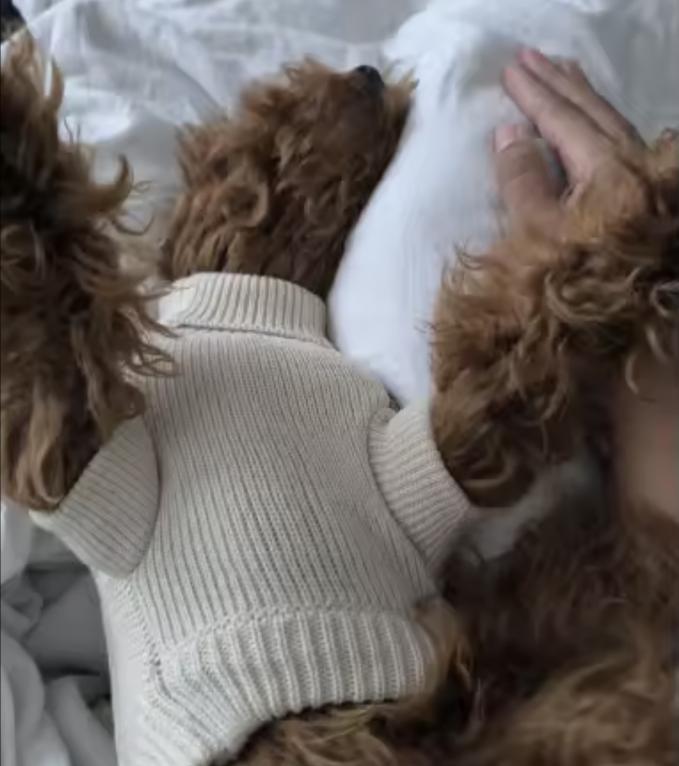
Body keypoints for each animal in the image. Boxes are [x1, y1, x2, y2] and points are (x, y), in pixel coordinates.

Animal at [1, 38, 677, 766]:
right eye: (275, 106)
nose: (367, 72)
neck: (255, 309)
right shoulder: (90, 467)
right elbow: (47, 323)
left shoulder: (419, 464)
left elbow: (535, 318)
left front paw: (650, 191)